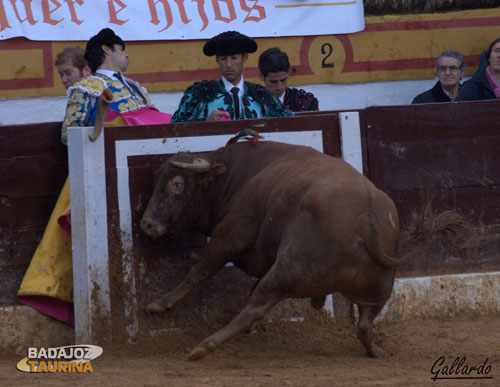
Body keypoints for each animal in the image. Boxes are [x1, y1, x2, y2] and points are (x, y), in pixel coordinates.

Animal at [141, 139, 460, 360]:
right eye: (155, 182)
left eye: (177, 184)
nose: (147, 224)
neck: (235, 176)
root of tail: (367, 220)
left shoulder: (231, 232)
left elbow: (200, 269)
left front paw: (159, 305)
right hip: (379, 289)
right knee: (364, 323)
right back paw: (375, 351)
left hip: (287, 269)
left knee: (255, 305)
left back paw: (203, 347)